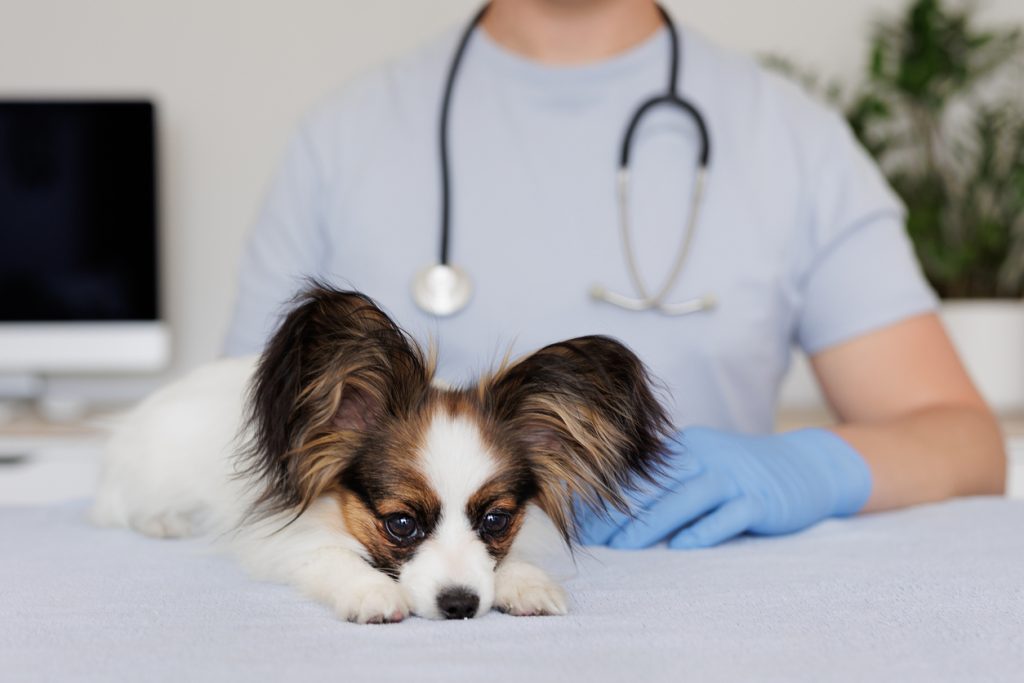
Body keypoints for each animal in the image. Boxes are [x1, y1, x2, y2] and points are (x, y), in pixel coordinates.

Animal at [92, 286, 671, 622]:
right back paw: (163, 521)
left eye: (496, 520)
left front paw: (525, 582)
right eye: (400, 524)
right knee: (120, 503)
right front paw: (370, 592)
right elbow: (332, 558)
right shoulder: (285, 538)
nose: (461, 606)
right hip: (156, 471)